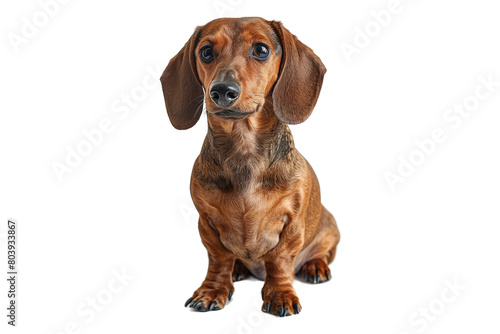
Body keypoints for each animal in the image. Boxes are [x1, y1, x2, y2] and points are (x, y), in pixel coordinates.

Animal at [160, 17, 340, 318]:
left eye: (261, 50)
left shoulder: (291, 224)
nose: (222, 91)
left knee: (321, 253)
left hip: (329, 229)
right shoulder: (207, 222)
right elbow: (219, 259)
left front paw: (280, 295)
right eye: (206, 52)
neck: (244, 151)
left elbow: (279, 260)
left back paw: (315, 266)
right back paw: (238, 269)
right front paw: (212, 291)